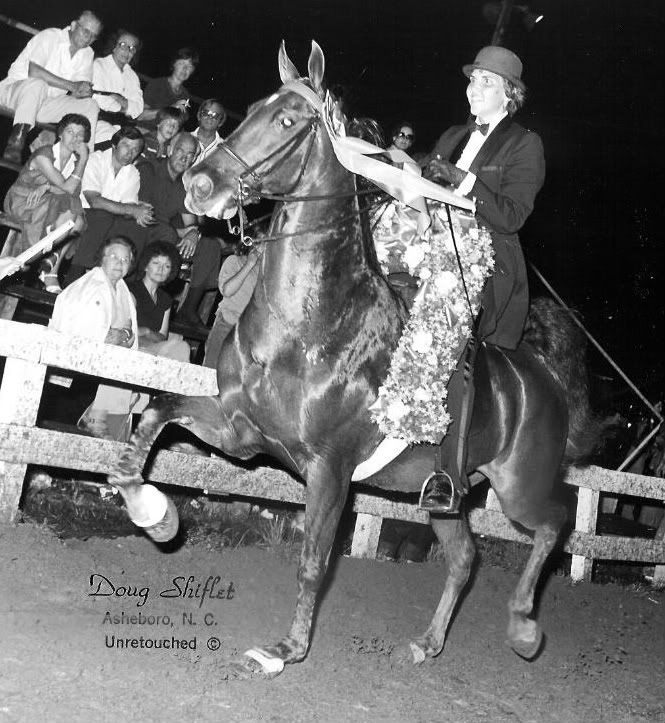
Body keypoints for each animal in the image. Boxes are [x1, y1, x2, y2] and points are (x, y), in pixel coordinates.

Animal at [109, 41, 596, 680]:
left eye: (288, 121)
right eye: (252, 109)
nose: (199, 183)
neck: (310, 326)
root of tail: (543, 375)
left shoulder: (329, 468)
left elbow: (314, 560)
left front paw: (285, 650)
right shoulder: (241, 431)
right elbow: (154, 416)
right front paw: (153, 512)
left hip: (520, 484)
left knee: (555, 521)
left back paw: (522, 628)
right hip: (447, 494)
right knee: (465, 557)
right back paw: (427, 643)